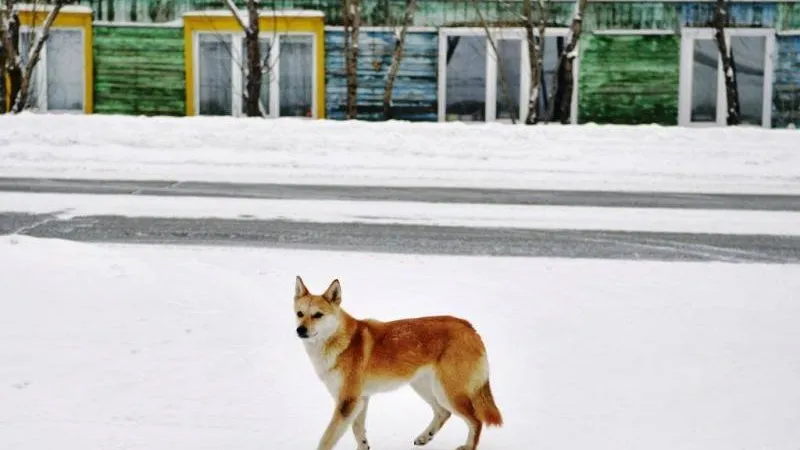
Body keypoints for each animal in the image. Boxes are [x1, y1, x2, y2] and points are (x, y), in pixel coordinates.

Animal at [296, 274, 504, 450]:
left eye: (318, 315)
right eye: (299, 313)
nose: (300, 330)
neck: (340, 341)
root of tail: (469, 327)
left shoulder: (347, 402)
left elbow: (326, 439)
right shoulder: (359, 400)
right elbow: (359, 433)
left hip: (448, 393)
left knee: (476, 421)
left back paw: (466, 446)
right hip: (425, 387)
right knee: (443, 413)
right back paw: (425, 437)